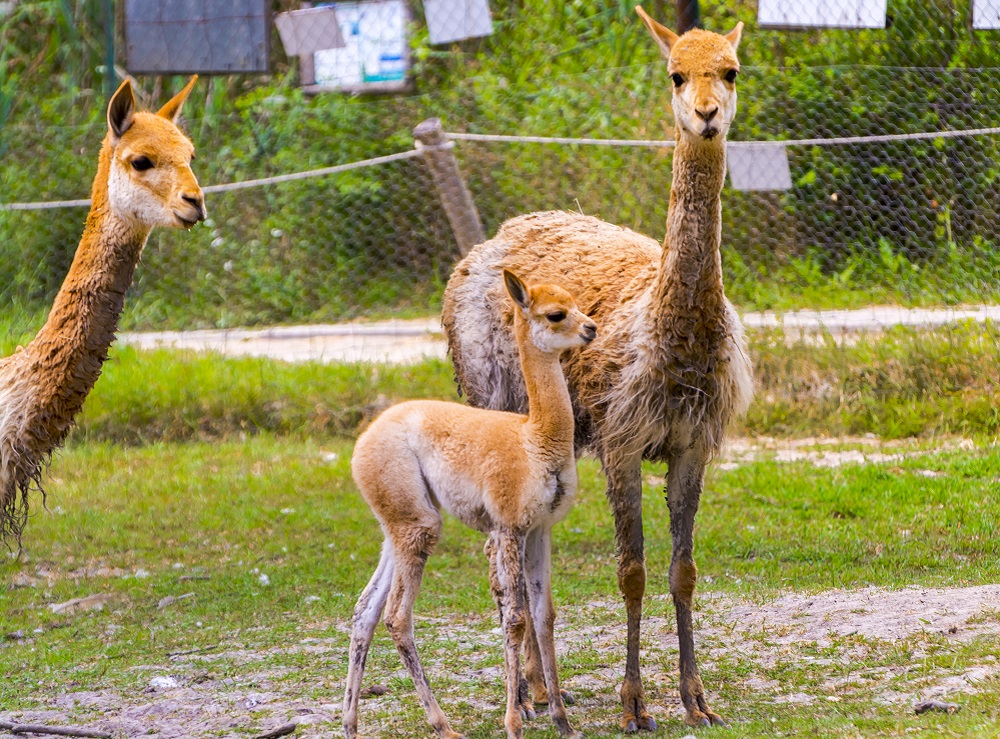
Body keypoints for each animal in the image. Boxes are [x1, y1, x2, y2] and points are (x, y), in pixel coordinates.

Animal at [344, 272, 592, 739]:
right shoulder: (509, 524)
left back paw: (350, 724)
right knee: (397, 617)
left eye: (577, 303)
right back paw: (442, 724)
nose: (591, 329)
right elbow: (515, 619)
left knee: (364, 610)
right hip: (417, 522)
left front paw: (562, 721)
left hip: (397, 521)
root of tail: (363, 440)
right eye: (556, 314)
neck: (535, 439)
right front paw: (515, 720)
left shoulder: (541, 528)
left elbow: (545, 615)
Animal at [442, 7, 752, 736]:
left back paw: (540, 686)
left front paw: (697, 697)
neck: (674, 333)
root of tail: (478, 252)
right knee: (499, 558)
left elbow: (684, 571)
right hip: (489, 398)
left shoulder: (692, 442)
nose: (706, 115)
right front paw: (634, 703)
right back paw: (527, 693)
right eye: (675, 73)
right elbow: (630, 571)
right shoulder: (622, 438)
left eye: (730, 70)